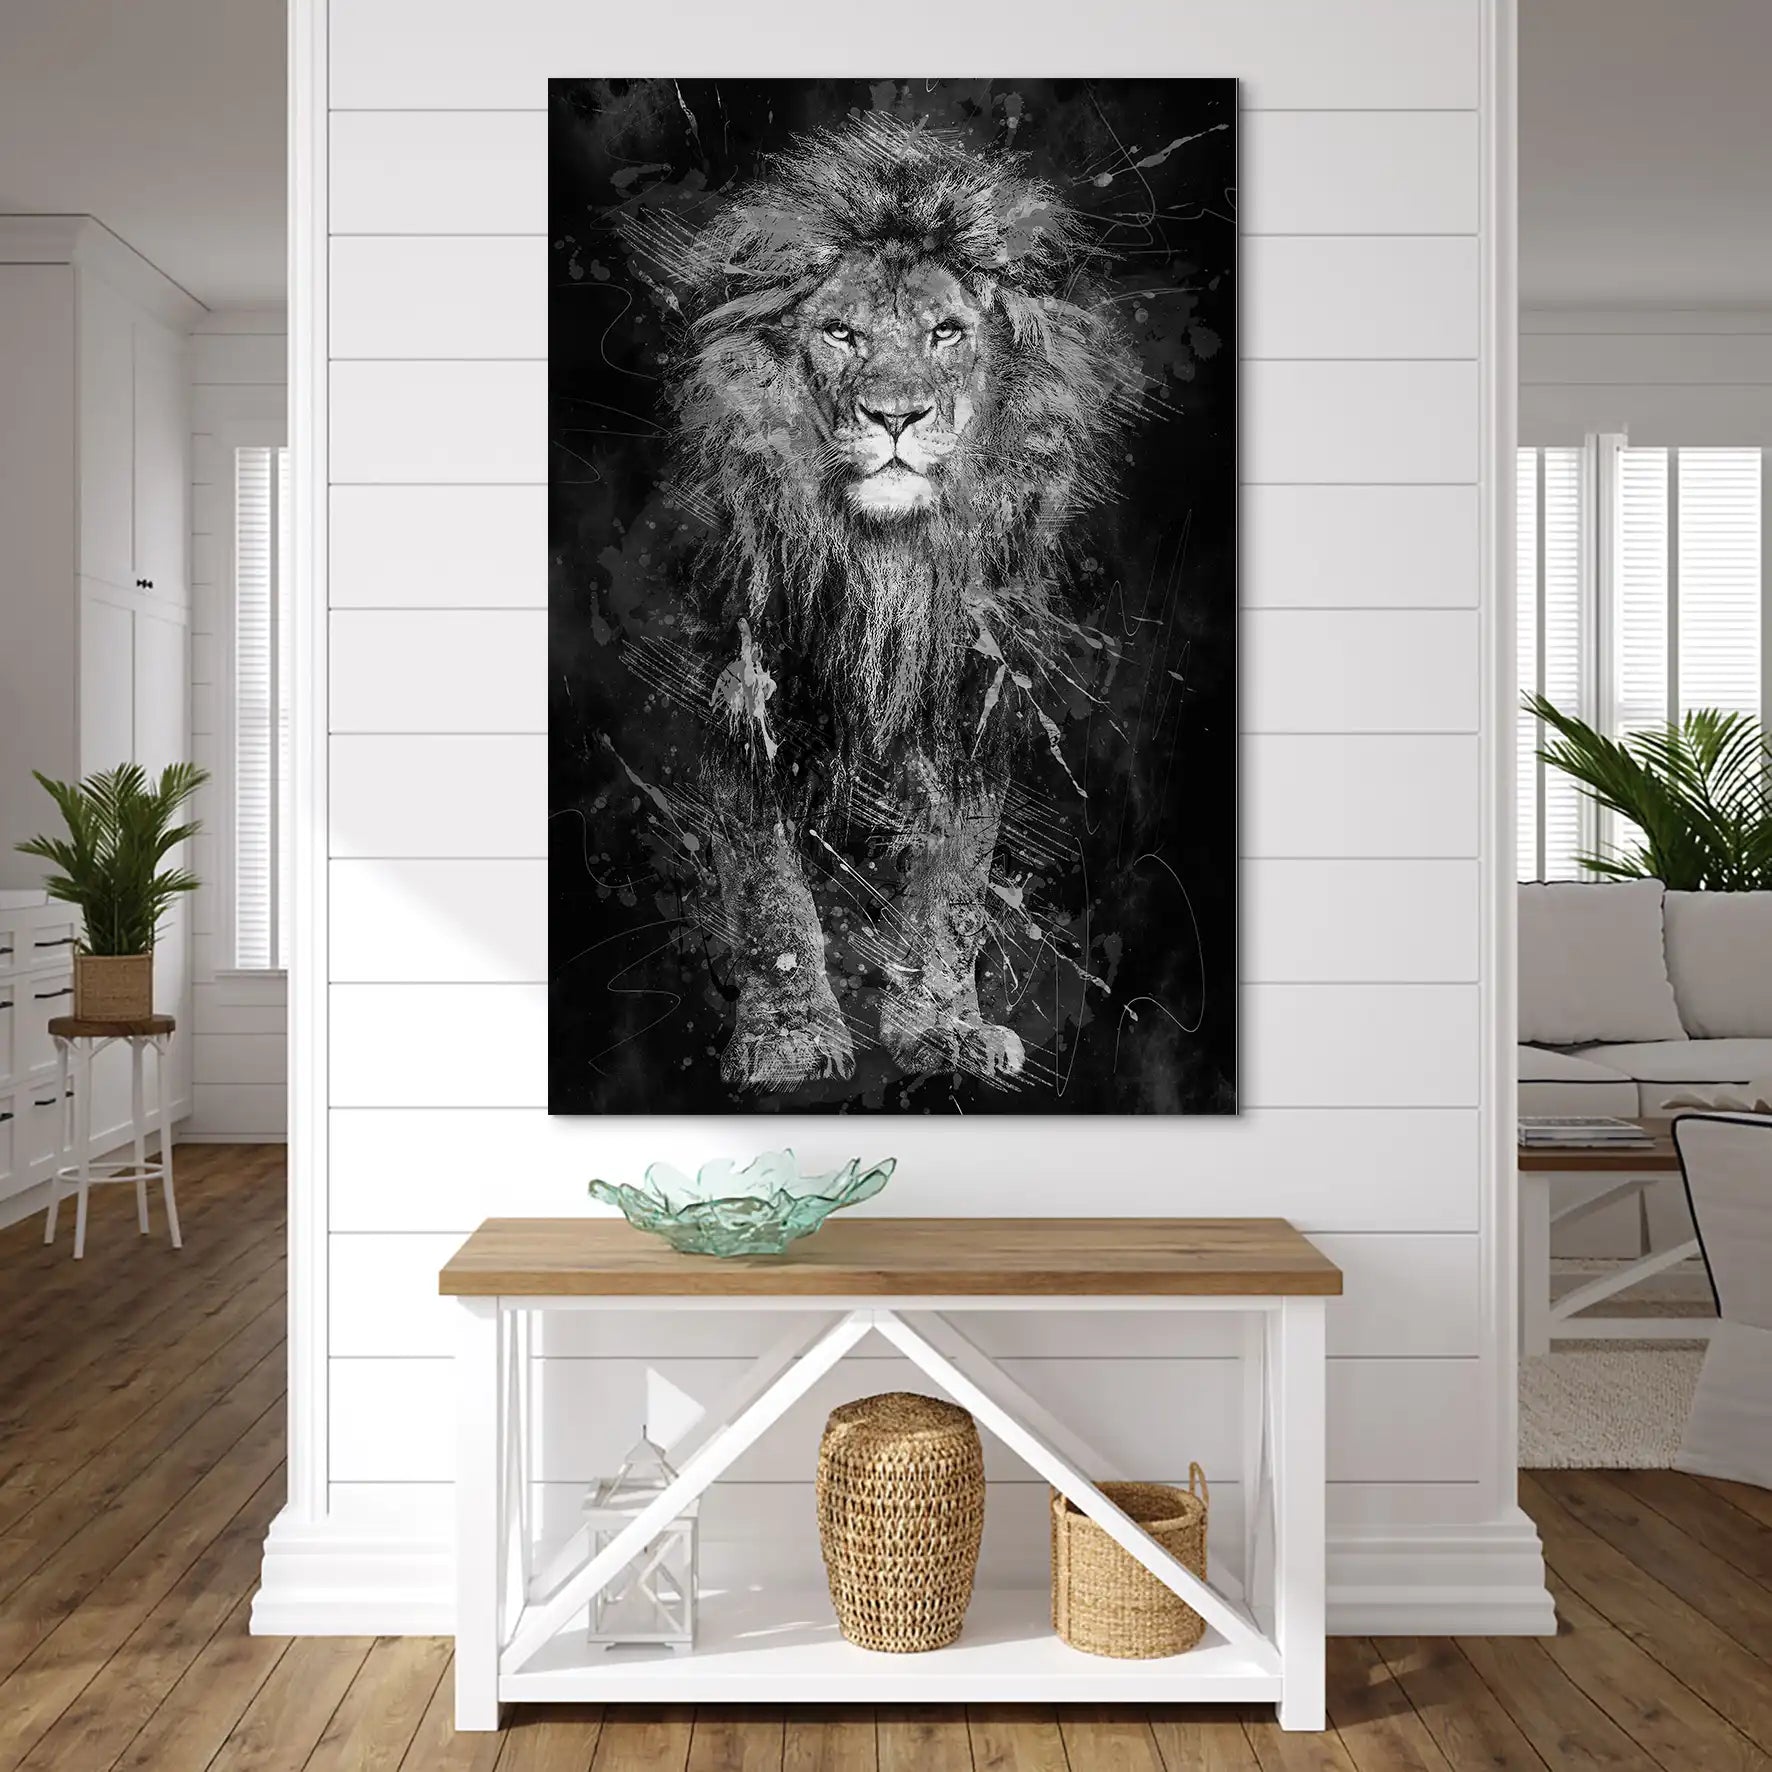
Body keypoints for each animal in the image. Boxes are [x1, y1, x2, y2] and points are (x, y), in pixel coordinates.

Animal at [658, 112, 1141, 1093]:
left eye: (947, 332)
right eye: (840, 334)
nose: (895, 417)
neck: (887, 560)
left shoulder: (972, 696)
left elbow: (954, 882)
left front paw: (946, 1028)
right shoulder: (742, 688)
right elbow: (768, 888)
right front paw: (791, 1038)